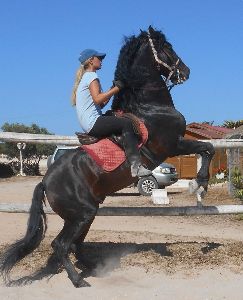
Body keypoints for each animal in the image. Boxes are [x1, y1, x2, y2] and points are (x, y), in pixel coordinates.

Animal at [0, 27, 215, 288]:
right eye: (167, 47)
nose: (185, 71)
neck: (151, 107)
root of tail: (45, 181)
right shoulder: (172, 145)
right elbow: (207, 147)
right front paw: (199, 184)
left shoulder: (174, 145)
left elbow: (207, 148)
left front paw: (199, 185)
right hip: (82, 213)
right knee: (61, 244)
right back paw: (78, 280)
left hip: (85, 213)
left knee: (75, 244)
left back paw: (93, 268)